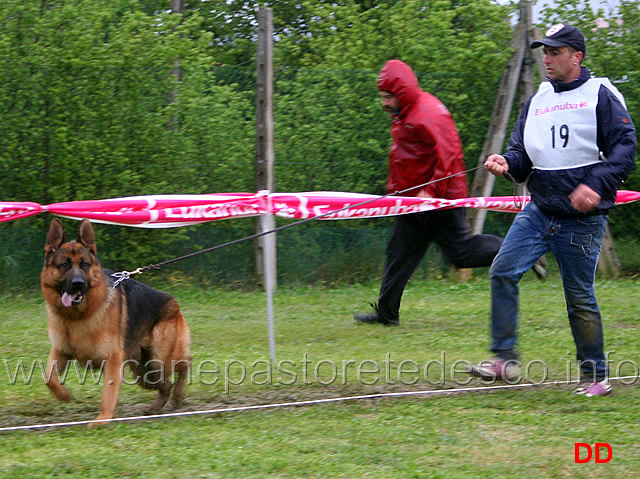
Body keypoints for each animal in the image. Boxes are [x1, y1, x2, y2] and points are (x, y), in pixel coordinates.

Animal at [39, 219, 189, 426]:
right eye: (64, 265)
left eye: (84, 264)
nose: (78, 284)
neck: (77, 316)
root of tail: (174, 303)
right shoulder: (61, 351)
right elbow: (49, 379)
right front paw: (65, 396)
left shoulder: (113, 359)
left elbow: (108, 393)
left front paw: (102, 419)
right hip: (145, 372)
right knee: (166, 384)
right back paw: (157, 407)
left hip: (161, 359)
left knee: (185, 364)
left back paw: (179, 395)